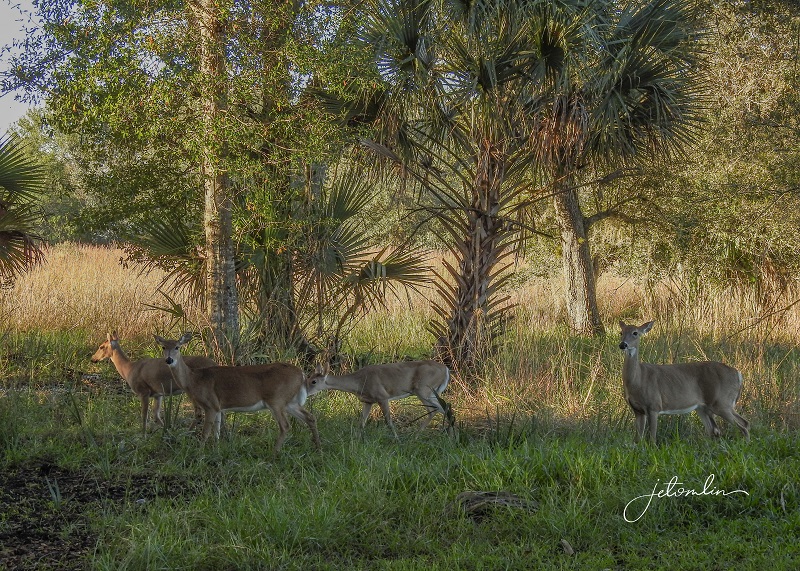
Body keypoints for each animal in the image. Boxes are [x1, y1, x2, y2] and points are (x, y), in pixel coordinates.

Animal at [155, 333, 321, 453]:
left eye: (177, 347)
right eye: (163, 347)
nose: (169, 360)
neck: (194, 379)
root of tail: (301, 374)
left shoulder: (210, 404)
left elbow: (205, 433)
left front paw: (199, 453)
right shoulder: (218, 407)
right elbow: (216, 432)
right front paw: (216, 450)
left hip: (276, 399)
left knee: (285, 426)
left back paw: (274, 453)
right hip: (289, 402)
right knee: (310, 417)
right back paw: (318, 448)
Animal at [306, 360, 451, 437]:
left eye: (313, 381)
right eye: (309, 378)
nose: (305, 392)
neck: (359, 382)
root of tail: (446, 369)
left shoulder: (382, 396)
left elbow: (389, 422)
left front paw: (396, 439)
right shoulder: (368, 401)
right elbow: (362, 422)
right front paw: (357, 438)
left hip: (423, 390)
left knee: (436, 409)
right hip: (430, 392)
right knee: (443, 408)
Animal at [618, 320, 750, 444]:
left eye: (635, 333)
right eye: (621, 332)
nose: (622, 344)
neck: (638, 380)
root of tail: (738, 374)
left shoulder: (654, 405)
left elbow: (652, 439)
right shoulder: (638, 410)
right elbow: (638, 440)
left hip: (722, 401)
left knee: (743, 424)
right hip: (703, 407)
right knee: (714, 430)